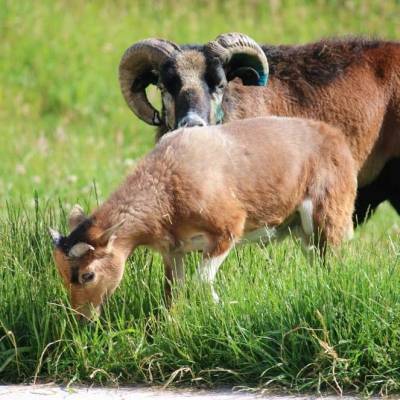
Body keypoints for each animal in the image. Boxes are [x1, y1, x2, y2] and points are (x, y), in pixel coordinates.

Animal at [49, 115, 356, 318]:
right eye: (63, 273)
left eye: (88, 274)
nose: (82, 319)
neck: (168, 182)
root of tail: (335, 137)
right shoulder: (173, 251)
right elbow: (172, 291)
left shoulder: (227, 231)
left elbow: (200, 281)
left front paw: (222, 308)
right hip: (303, 233)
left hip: (328, 217)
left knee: (336, 263)